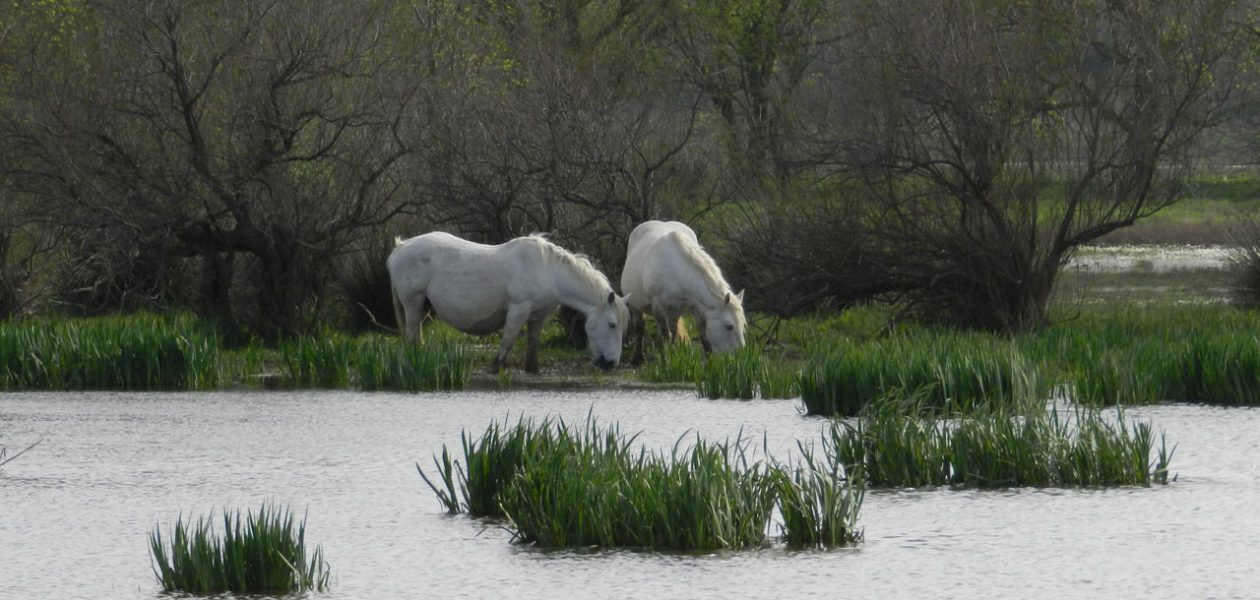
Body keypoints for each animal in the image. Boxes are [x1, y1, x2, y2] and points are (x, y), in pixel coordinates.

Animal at [383, 231, 630, 373]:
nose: (611, 364)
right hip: (413, 303)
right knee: (412, 336)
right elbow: (507, 342)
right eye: (612, 324)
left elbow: (532, 349)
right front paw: (496, 367)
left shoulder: (538, 317)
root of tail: (400, 248)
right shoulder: (518, 309)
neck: (548, 270)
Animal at [622, 219, 740, 363]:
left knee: (674, 329)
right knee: (640, 328)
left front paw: (708, 358)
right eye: (729, 326)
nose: (740, 354)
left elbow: (702, 332)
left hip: (674, 310)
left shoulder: (696, 307)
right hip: (636, 307)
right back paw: (638, 357)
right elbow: (665, 334)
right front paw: (667, 359)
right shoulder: (658, 307)